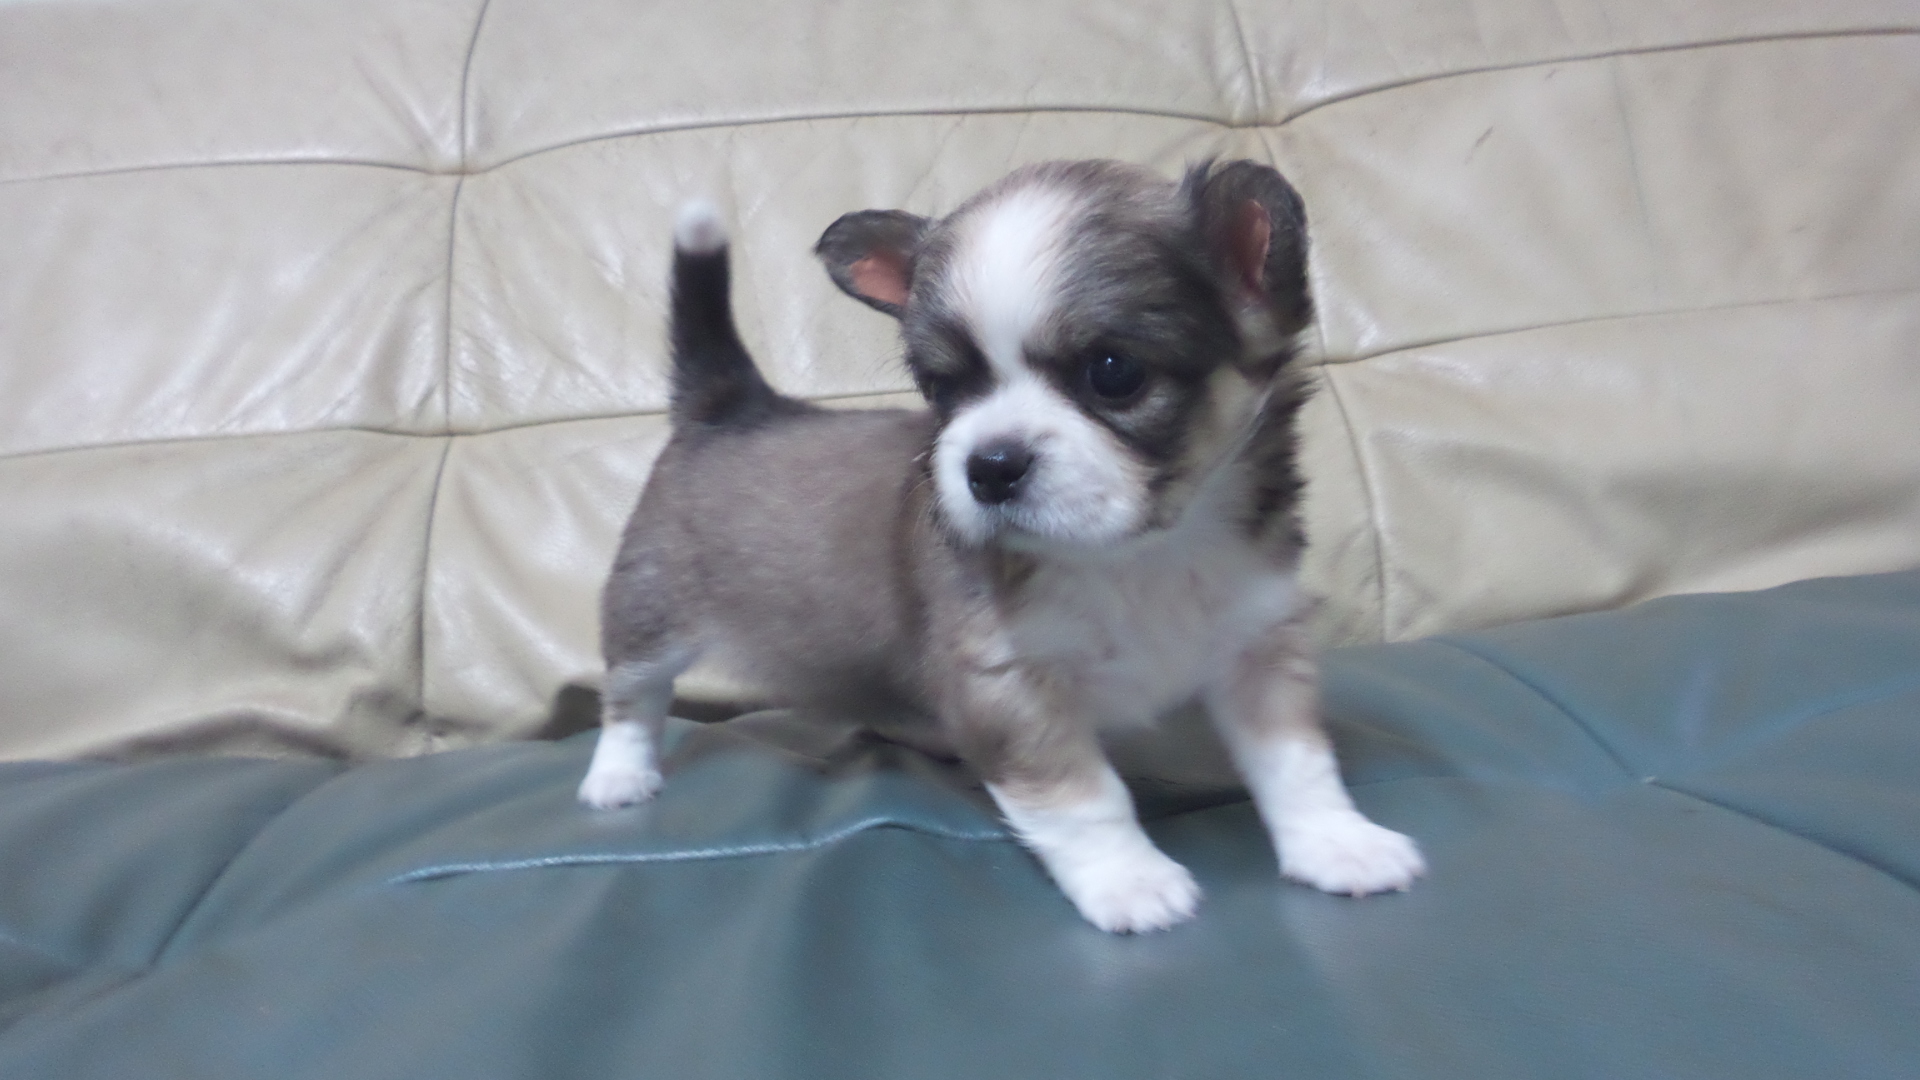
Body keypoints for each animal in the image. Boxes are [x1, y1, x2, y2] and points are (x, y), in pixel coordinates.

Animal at [578, 159, 1424, 932]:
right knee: (632, 697)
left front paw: (1338, 843)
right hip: (649, 610)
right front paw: (1130, 882)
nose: (988, 466)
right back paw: (619, 776)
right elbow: (1085, 796)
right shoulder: (1011, 684)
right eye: (943, 388)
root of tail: (732, 404)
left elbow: (1298, 763)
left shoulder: (1258, 645)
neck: (1138, 555)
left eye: (1113, 372)